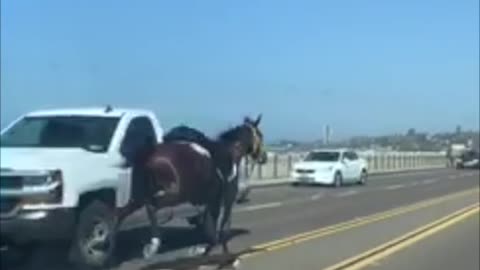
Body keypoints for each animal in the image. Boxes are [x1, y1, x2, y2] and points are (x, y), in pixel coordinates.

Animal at [124, 114, 268, 260]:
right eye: (260, 135)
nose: (264, 157)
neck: (231, 154)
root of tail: (149, 155)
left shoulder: (210, 200)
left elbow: (210, 225)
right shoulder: (225, 198)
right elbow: (221, 226)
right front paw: (208, 248)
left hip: (145, 194)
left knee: (134, 210)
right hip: (174, 194)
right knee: (151, 207)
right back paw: (153, 244)